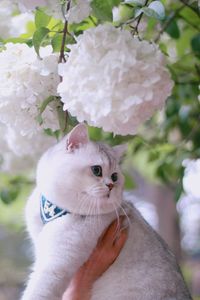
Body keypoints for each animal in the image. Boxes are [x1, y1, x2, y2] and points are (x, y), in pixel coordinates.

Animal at [22, 123, 192, 300]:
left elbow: (37, 292)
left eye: (115, 177)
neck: (55, 211)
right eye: (96, 170)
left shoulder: (54, 266)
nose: (110, 185)